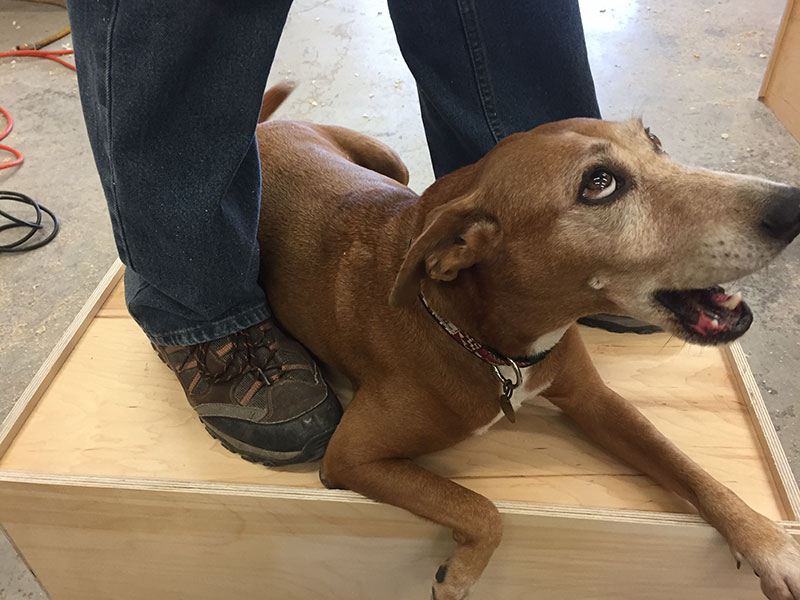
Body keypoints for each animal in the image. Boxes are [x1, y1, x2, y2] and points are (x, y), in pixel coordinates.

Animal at [255, 83, 800, 600]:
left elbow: (684, 463)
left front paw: (767, 541)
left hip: (393, 164)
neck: (485, 340)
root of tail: (261, 131)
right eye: (599, 184)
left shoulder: (593, 399)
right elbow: (482, 509)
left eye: (655, 141)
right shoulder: (352, 456)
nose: (792, 204)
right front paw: (458, 576)